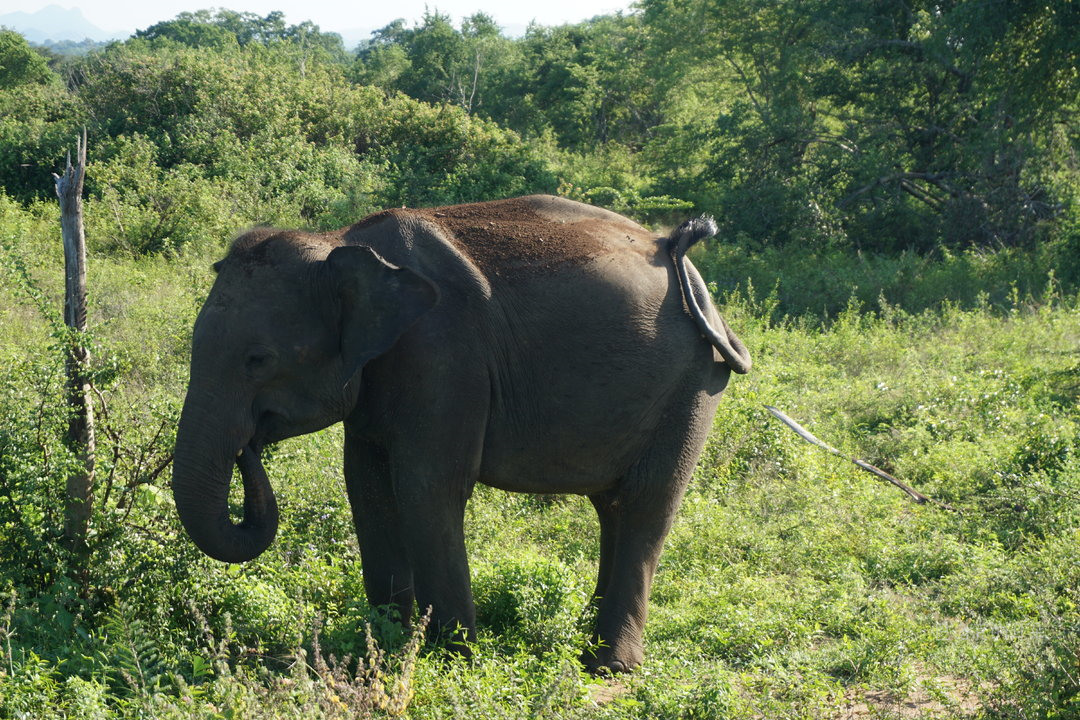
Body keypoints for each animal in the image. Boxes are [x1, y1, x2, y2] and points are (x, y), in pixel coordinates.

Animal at [174, 194, 751, 673]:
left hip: (695, 383)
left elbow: (428, 488)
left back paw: (610, 667)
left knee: (647, 503)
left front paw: (452, 660)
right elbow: (367, 487)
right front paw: (383, 646)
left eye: (258, 359)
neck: (339, 242)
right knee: (613, 507)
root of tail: (677, 251)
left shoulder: (445, 355)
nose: (249, 445)